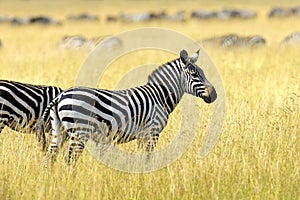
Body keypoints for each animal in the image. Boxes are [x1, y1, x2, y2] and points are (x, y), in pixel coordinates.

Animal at [37, 49, 217, 165]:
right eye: (194, 74)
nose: (214, 95)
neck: (159, 96)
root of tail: (60, 96)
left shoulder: (143, 135)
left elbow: (142, 158)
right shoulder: (152, 132)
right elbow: (148, 158)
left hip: (59, 130)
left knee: (50, 158)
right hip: (79, 132)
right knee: (70, 160)